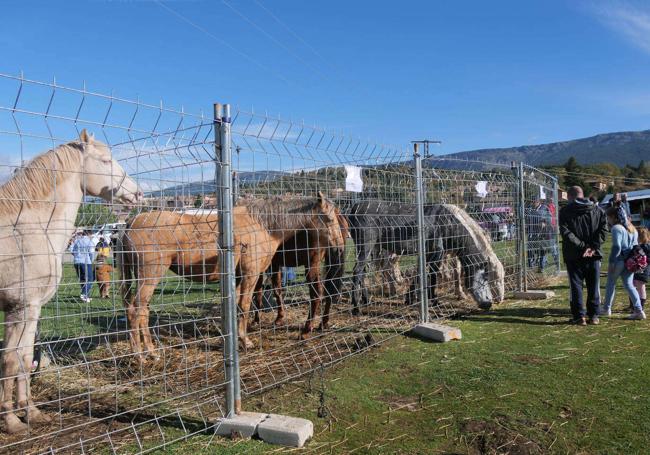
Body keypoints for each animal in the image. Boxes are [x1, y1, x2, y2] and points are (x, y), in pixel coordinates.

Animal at [0, 131, 141, 434]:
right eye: (105, 160)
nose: (137, 193)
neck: (28, 227)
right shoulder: (21, 308)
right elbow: (11, 359)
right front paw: (12, 421)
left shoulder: (31, 310)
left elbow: (24, 357)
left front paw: (31, 412)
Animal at [120, 192, 344, 360]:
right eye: (330, 218)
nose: (340, 245)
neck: (262, 224)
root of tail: (130, 222)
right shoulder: (250, 274)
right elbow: (245, 305)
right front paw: (245, 341)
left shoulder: (239, 277)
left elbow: (235, 304)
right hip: (149, 278)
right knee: (137, 310)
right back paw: (143, 354)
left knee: (139, 310)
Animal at [346, 201, 504, 316]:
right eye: (487, 277)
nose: (491, 303)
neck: (450, 224)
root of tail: (354, 208)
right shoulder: (436, 252)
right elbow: (429, 275)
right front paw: (430, 300)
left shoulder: (432, 254)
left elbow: (423, 274)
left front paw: (413, 299)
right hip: (366, 245)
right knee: (357, 271)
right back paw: (356, 308)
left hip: (370, 248)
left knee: (363, 271)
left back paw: (366, 301)